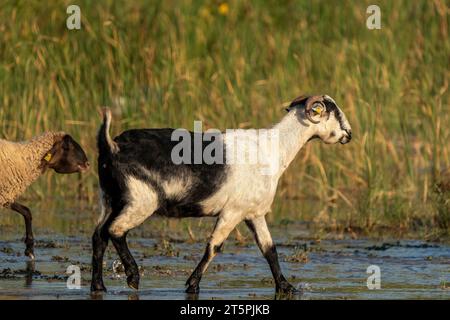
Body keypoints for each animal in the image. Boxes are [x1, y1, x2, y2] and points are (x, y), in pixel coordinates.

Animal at [90, 95, 352, 296]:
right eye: (333, 112)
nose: (348, 134)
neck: (274, 149)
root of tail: (112, 146)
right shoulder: (233, 211)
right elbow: (214, 247)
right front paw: (192, 285)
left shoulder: (253, 213)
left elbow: (269, 250)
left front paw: (286, 287)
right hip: (142, 200)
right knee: (115, 230)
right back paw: (133, 276)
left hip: (109, 198)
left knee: (99, 236)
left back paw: (99, 286)